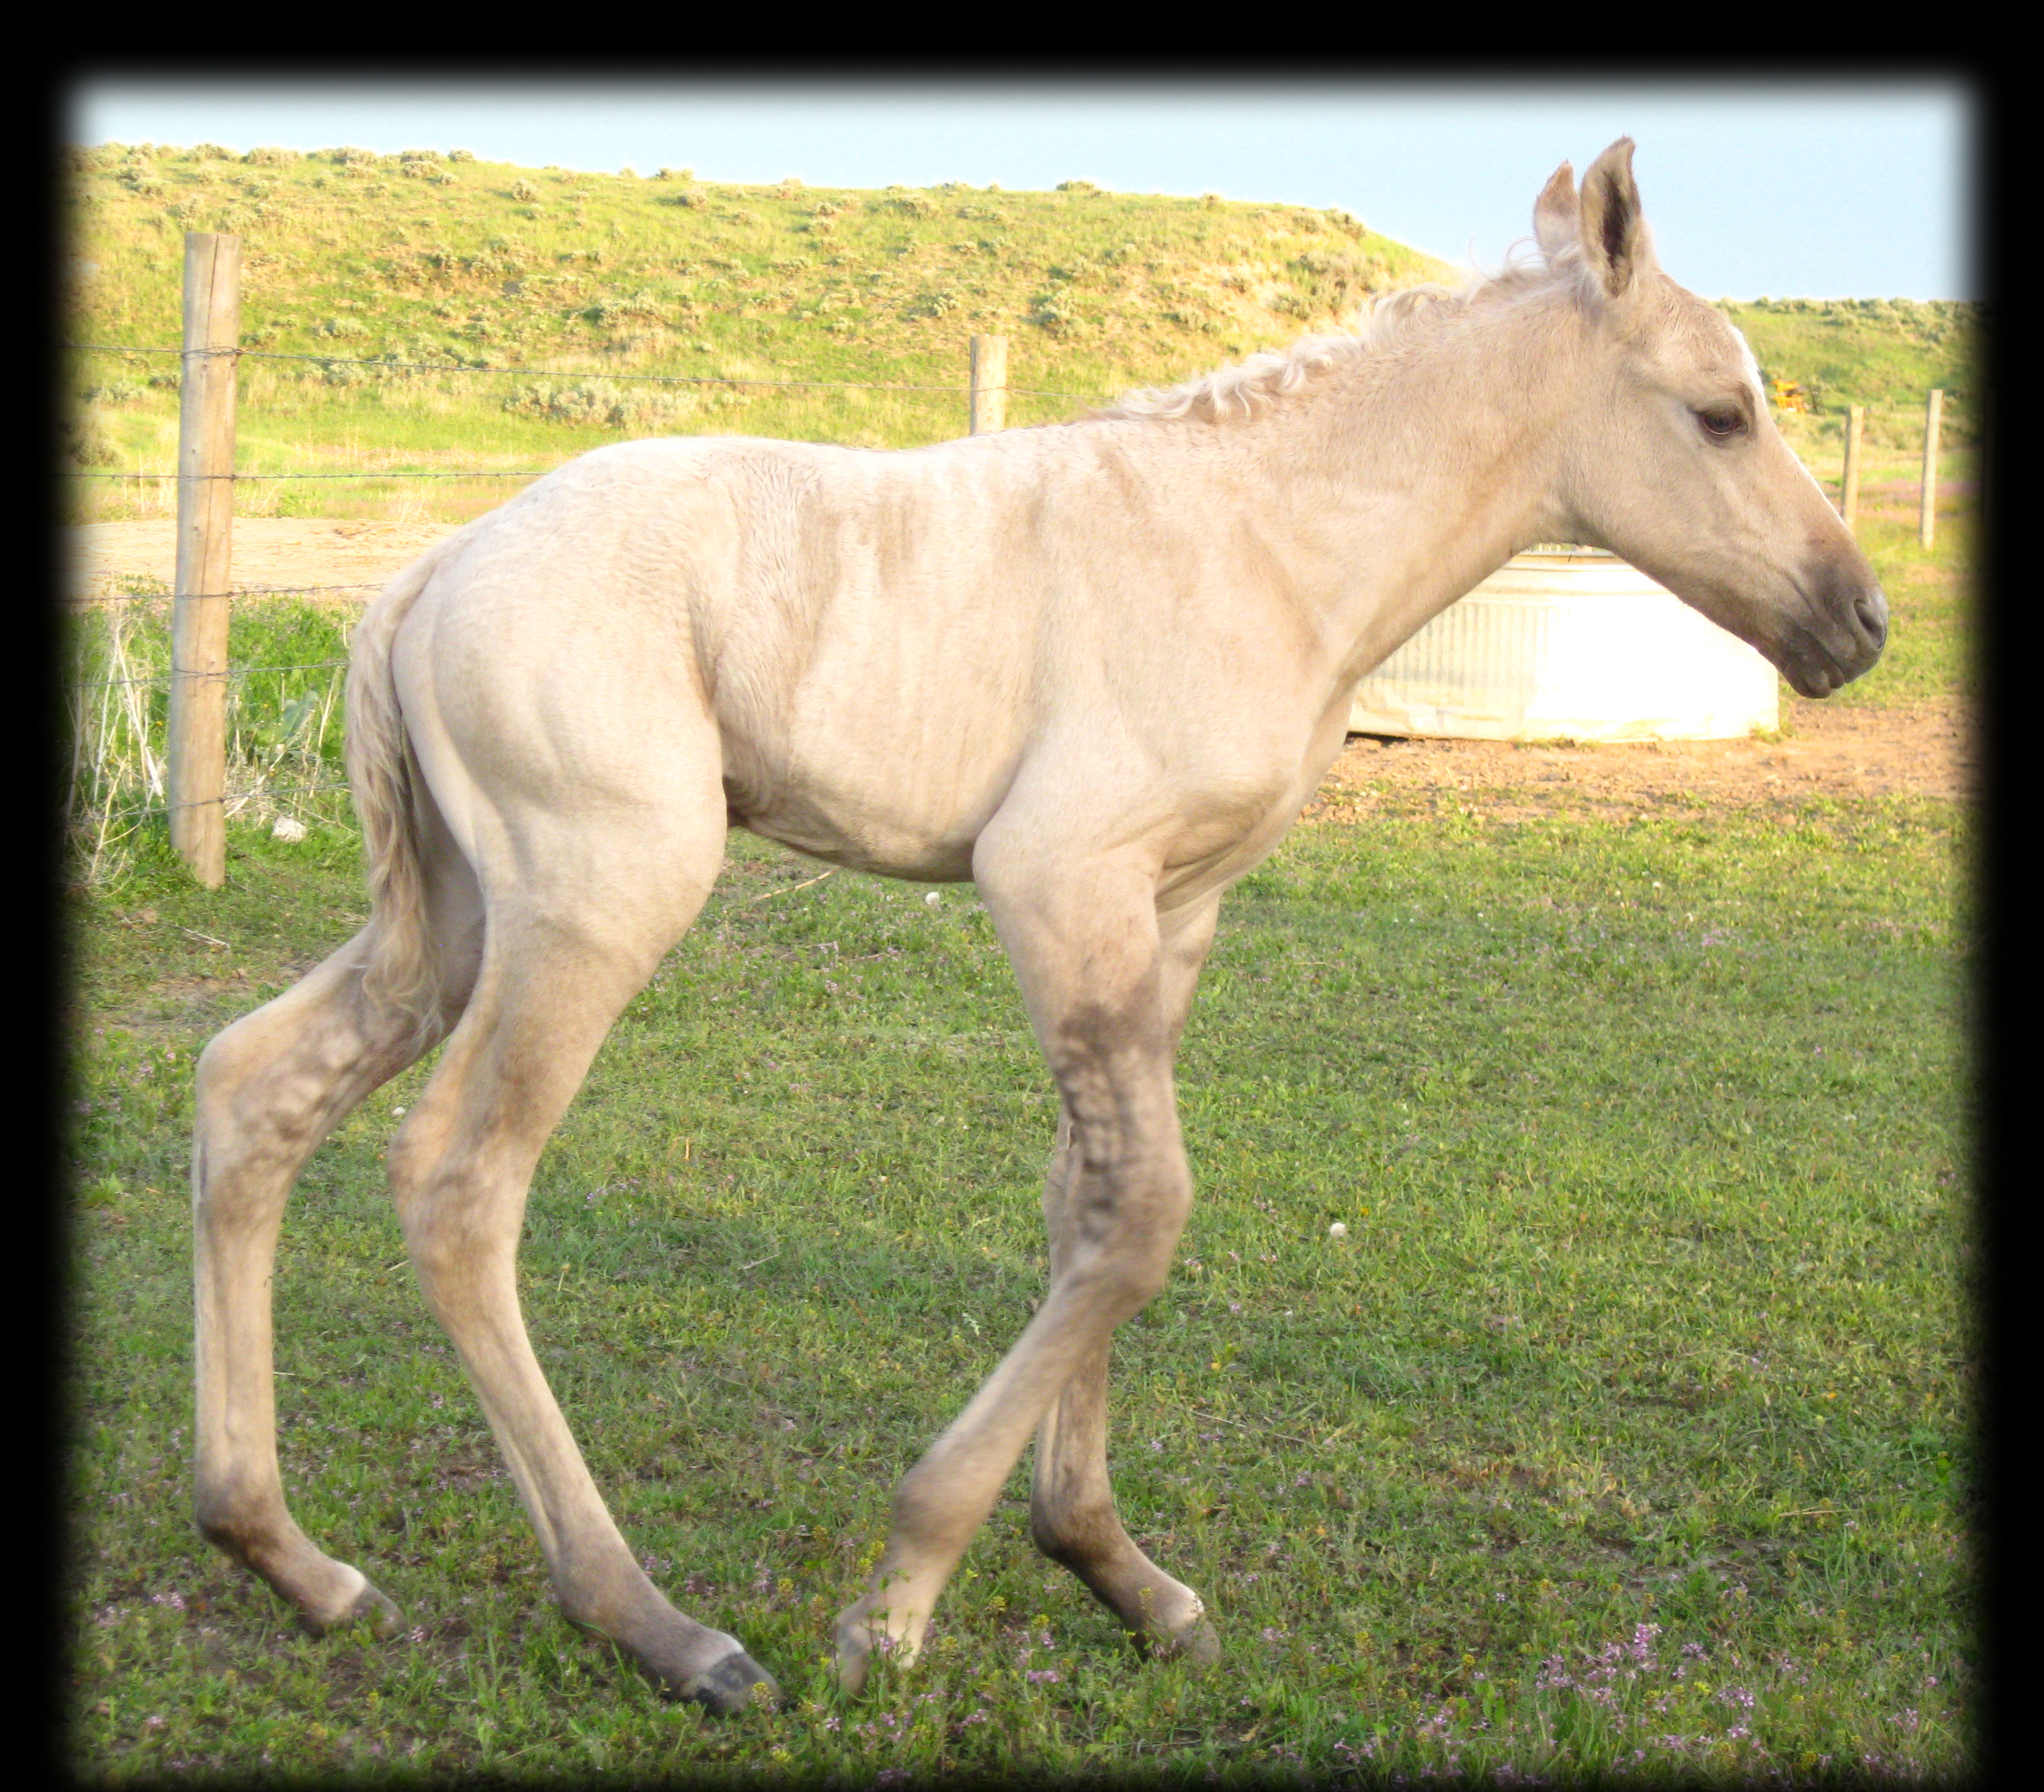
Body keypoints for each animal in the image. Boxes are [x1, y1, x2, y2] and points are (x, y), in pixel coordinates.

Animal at [188, 141, 1886, 1713]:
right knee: (459, 1184)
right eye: (1719, 412)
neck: (1269, 541)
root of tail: (425, 572)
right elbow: (1146, 1215)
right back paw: (658, 1626)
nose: (1856, 622)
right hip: (597, 894)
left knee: (251, 1083)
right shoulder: (1055, 873)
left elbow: (1091, 1201)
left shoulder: (1170, 906)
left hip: (460, 913)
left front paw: (1113, 1568)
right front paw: (900, 1597)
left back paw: (292, 1560)